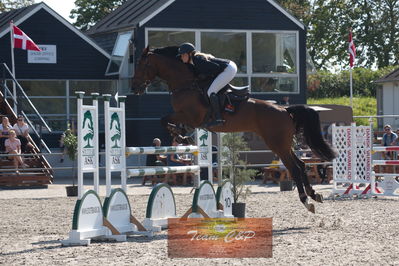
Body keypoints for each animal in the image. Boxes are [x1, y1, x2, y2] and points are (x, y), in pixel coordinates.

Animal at [132, 45, 338, 212]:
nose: (134, 88)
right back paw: (314, 195)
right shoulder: (188, 119)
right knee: (301, 165)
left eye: (142, 65)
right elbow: (169, 122)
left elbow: (164, 119)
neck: (186, 83)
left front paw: (181, 135)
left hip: (277, 144)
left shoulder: (191, 116)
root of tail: (284, 110)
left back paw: (306, 201)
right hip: (283, 144)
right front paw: (182, 136)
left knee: (294, 168)